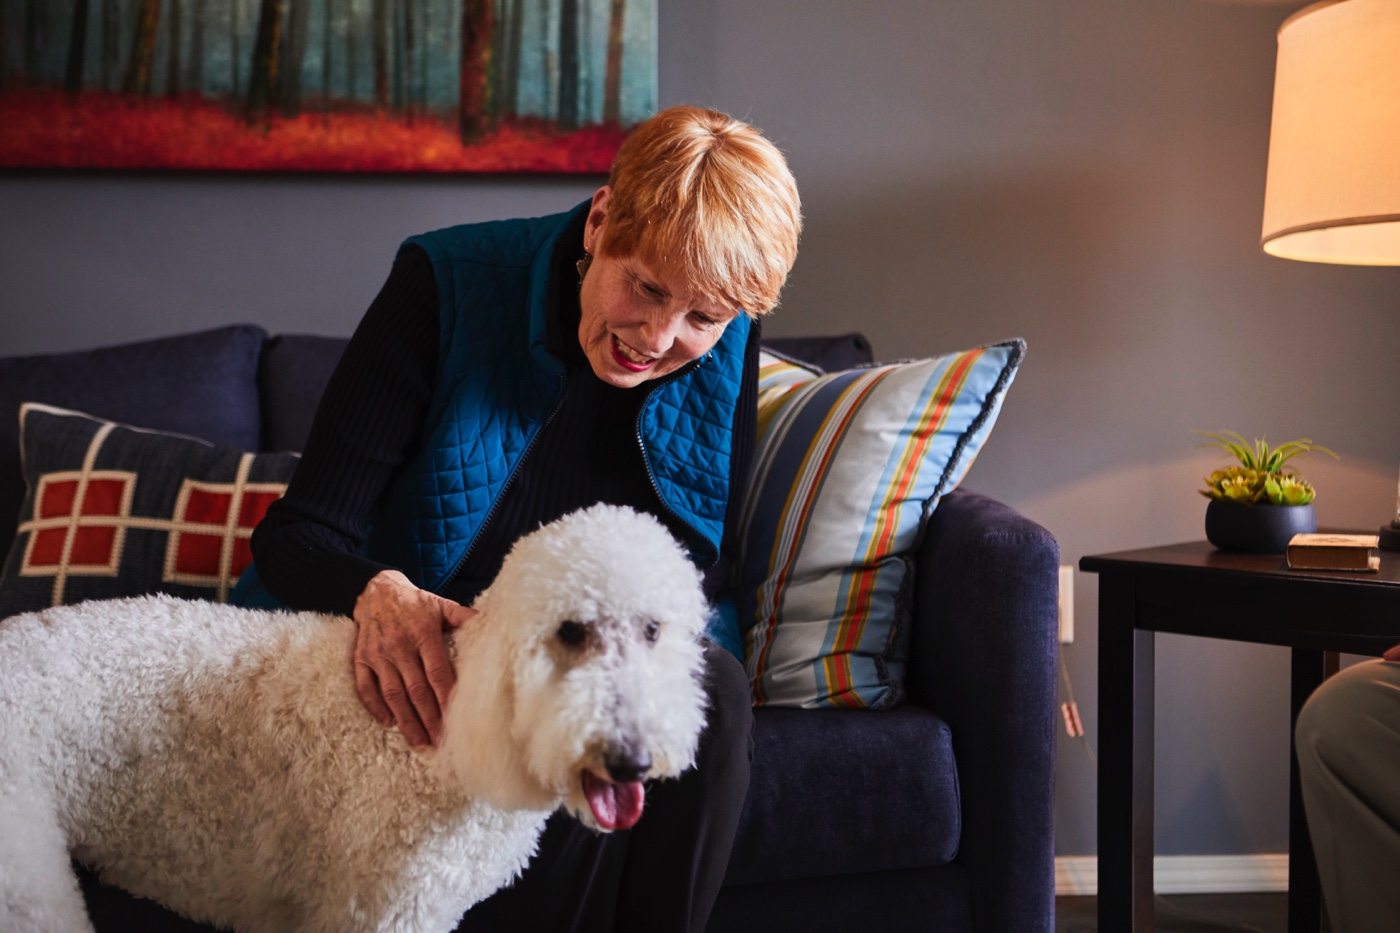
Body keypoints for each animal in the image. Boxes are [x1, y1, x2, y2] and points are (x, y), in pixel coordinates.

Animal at [0, 504, 711, 924]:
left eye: (653, 630)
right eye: (570, 631)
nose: (631, 759)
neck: (450, 746)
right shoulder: (379, 907)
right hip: (28, 877)